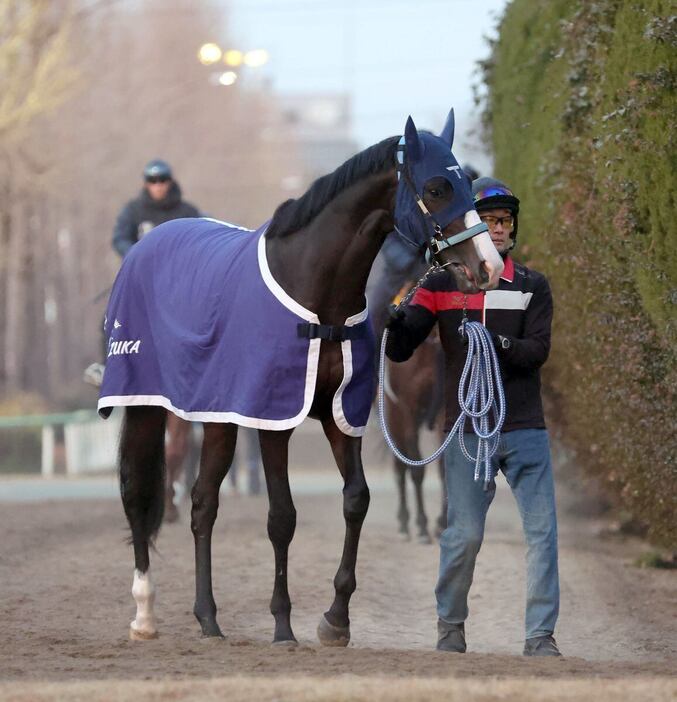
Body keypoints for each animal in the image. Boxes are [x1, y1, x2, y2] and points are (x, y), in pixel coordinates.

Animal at [99, 108, 502, 648]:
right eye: (437, 187)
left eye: (469, 184)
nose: (488, 266)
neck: (316, 293)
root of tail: (150, 243)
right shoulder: (275, 417)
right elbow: (282, 517)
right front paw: (283, 624)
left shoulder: (340, 415)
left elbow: (356, 500)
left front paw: (336, 619)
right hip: (147, 403)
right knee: (138, 493)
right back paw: (144, 612)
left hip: (218, 414)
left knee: (204, 503)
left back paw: (208, 617)